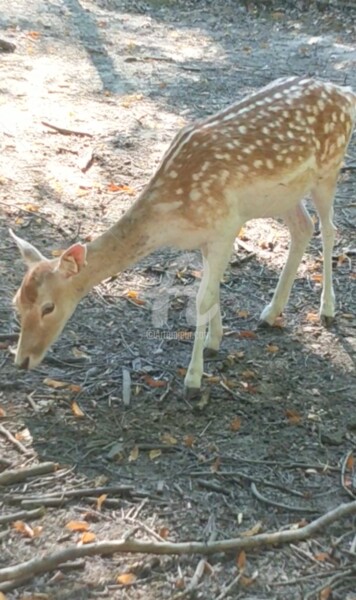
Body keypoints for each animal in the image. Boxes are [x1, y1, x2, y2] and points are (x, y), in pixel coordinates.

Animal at [9, 77, 354, 396]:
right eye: (16, 304)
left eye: (49, 307)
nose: (22, 361)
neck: (172, 218)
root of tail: (344, 93)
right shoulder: (208, 237)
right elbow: (213, 290)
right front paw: (215, 342)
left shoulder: (225, 225)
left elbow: (202, 298)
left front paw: (193, 379)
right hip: (287, 194)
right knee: (303, 227)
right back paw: (270, 313)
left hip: (329, 170)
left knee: (329, 229)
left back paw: (327, 310)